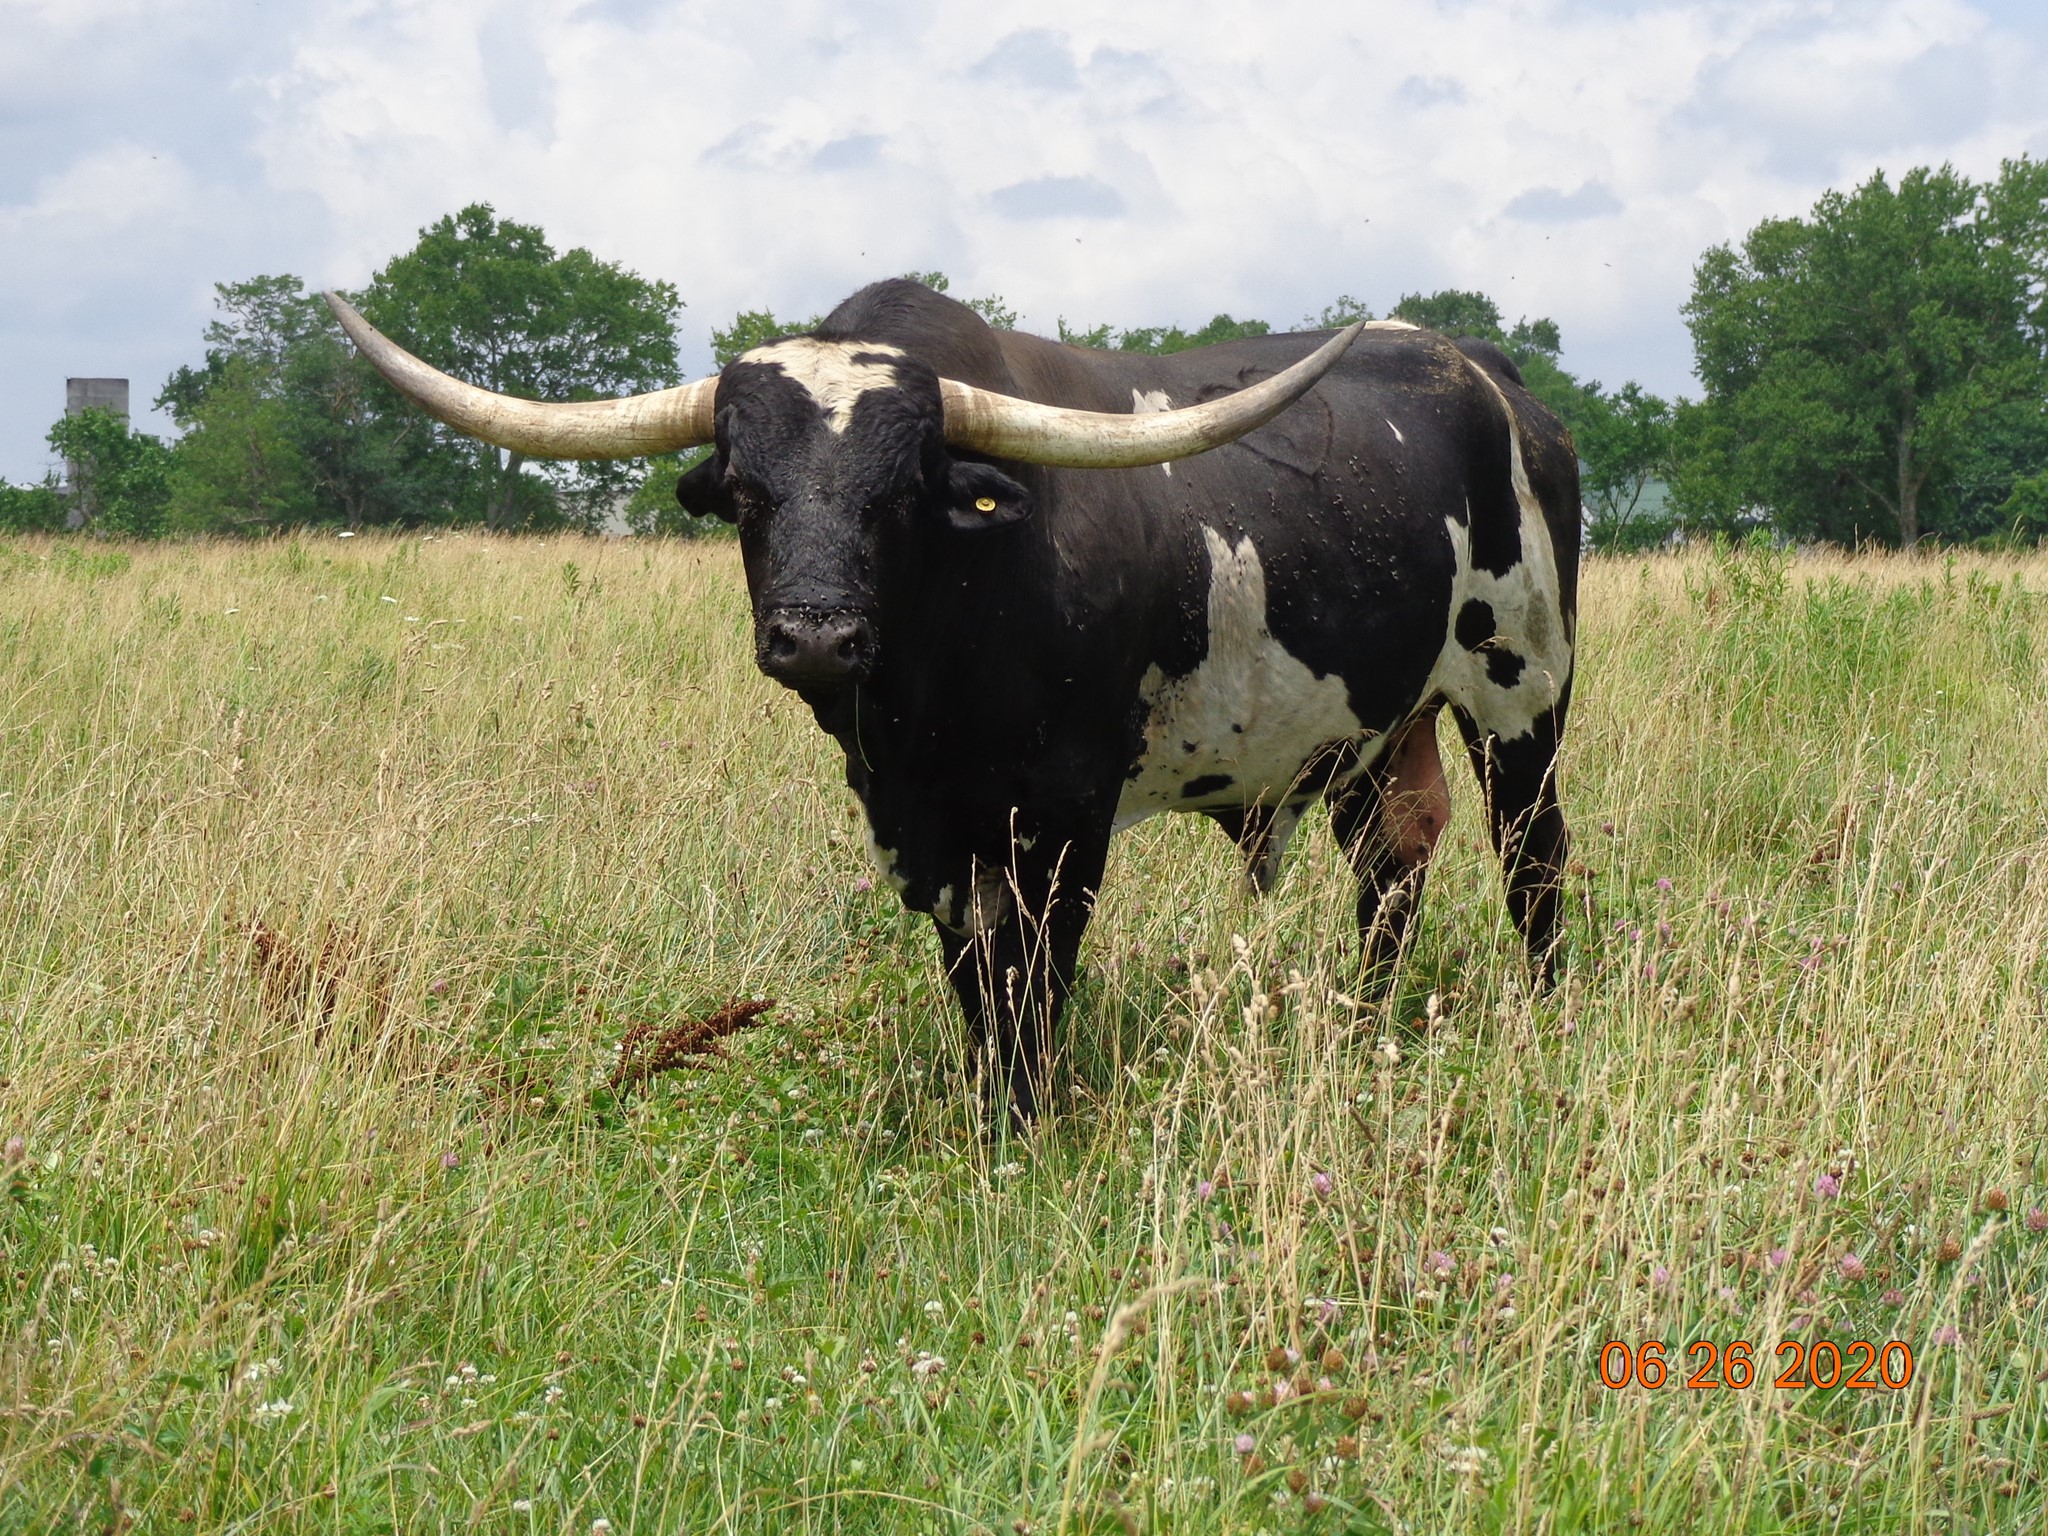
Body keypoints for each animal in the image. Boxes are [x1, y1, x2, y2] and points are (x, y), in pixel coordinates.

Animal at [326, 279, 1579, 1123]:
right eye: (745, 493)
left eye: (902, 493)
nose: (814, 637)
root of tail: (1484, 369)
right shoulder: (920, 819)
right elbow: (974, 972)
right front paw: (984, 1105)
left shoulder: (1063, 813)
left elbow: (1035, 969)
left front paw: (1022, 1124)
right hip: (1379, 722)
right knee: (1391, 857)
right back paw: (1360, 1034)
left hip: (1522, 689)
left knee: (1531, 860)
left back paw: (1545, 1024)